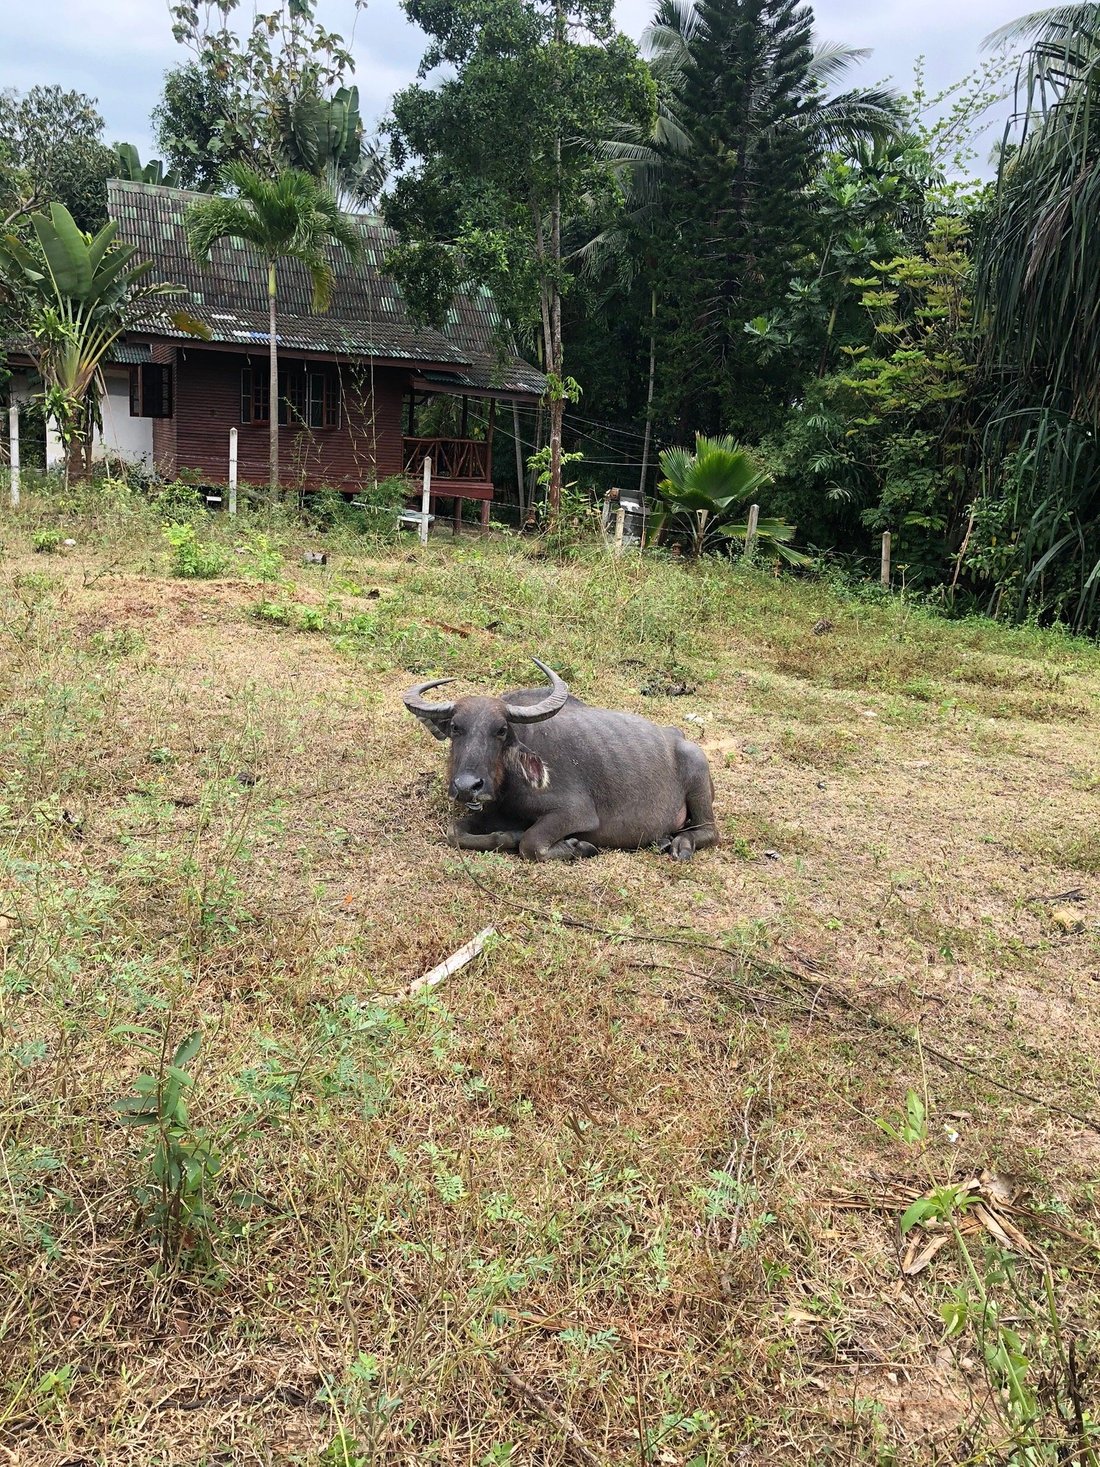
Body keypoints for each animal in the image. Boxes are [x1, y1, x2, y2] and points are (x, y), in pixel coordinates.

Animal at [401, 657, 718, 856]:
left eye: (501, 730)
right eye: (456, 727)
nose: (468, 787)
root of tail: (677, 736)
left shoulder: (575, 813)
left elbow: (531, 843)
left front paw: (578, 847)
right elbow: (455, 832)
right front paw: (510, 835)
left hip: (698, 776)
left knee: (710, 831)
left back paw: (680, 845)